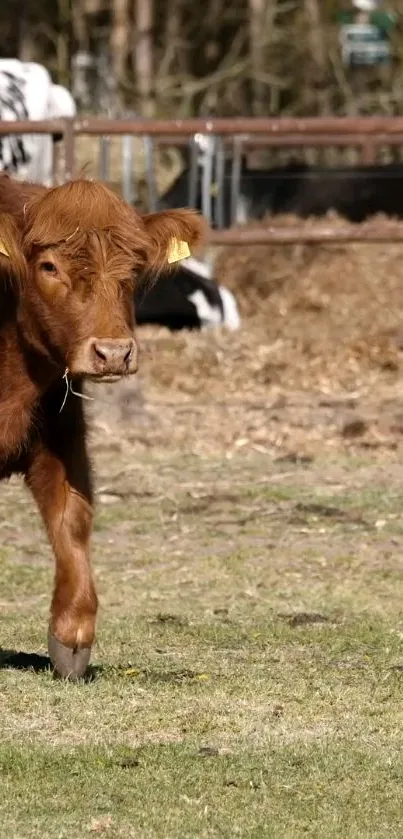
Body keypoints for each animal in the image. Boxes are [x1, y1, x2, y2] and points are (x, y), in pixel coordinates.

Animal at [0, 174, 205, 680]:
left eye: (132, 269)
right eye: (48, 266)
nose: (113, 353)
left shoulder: (61, 436)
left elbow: (72, 521)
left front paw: (71, 633)